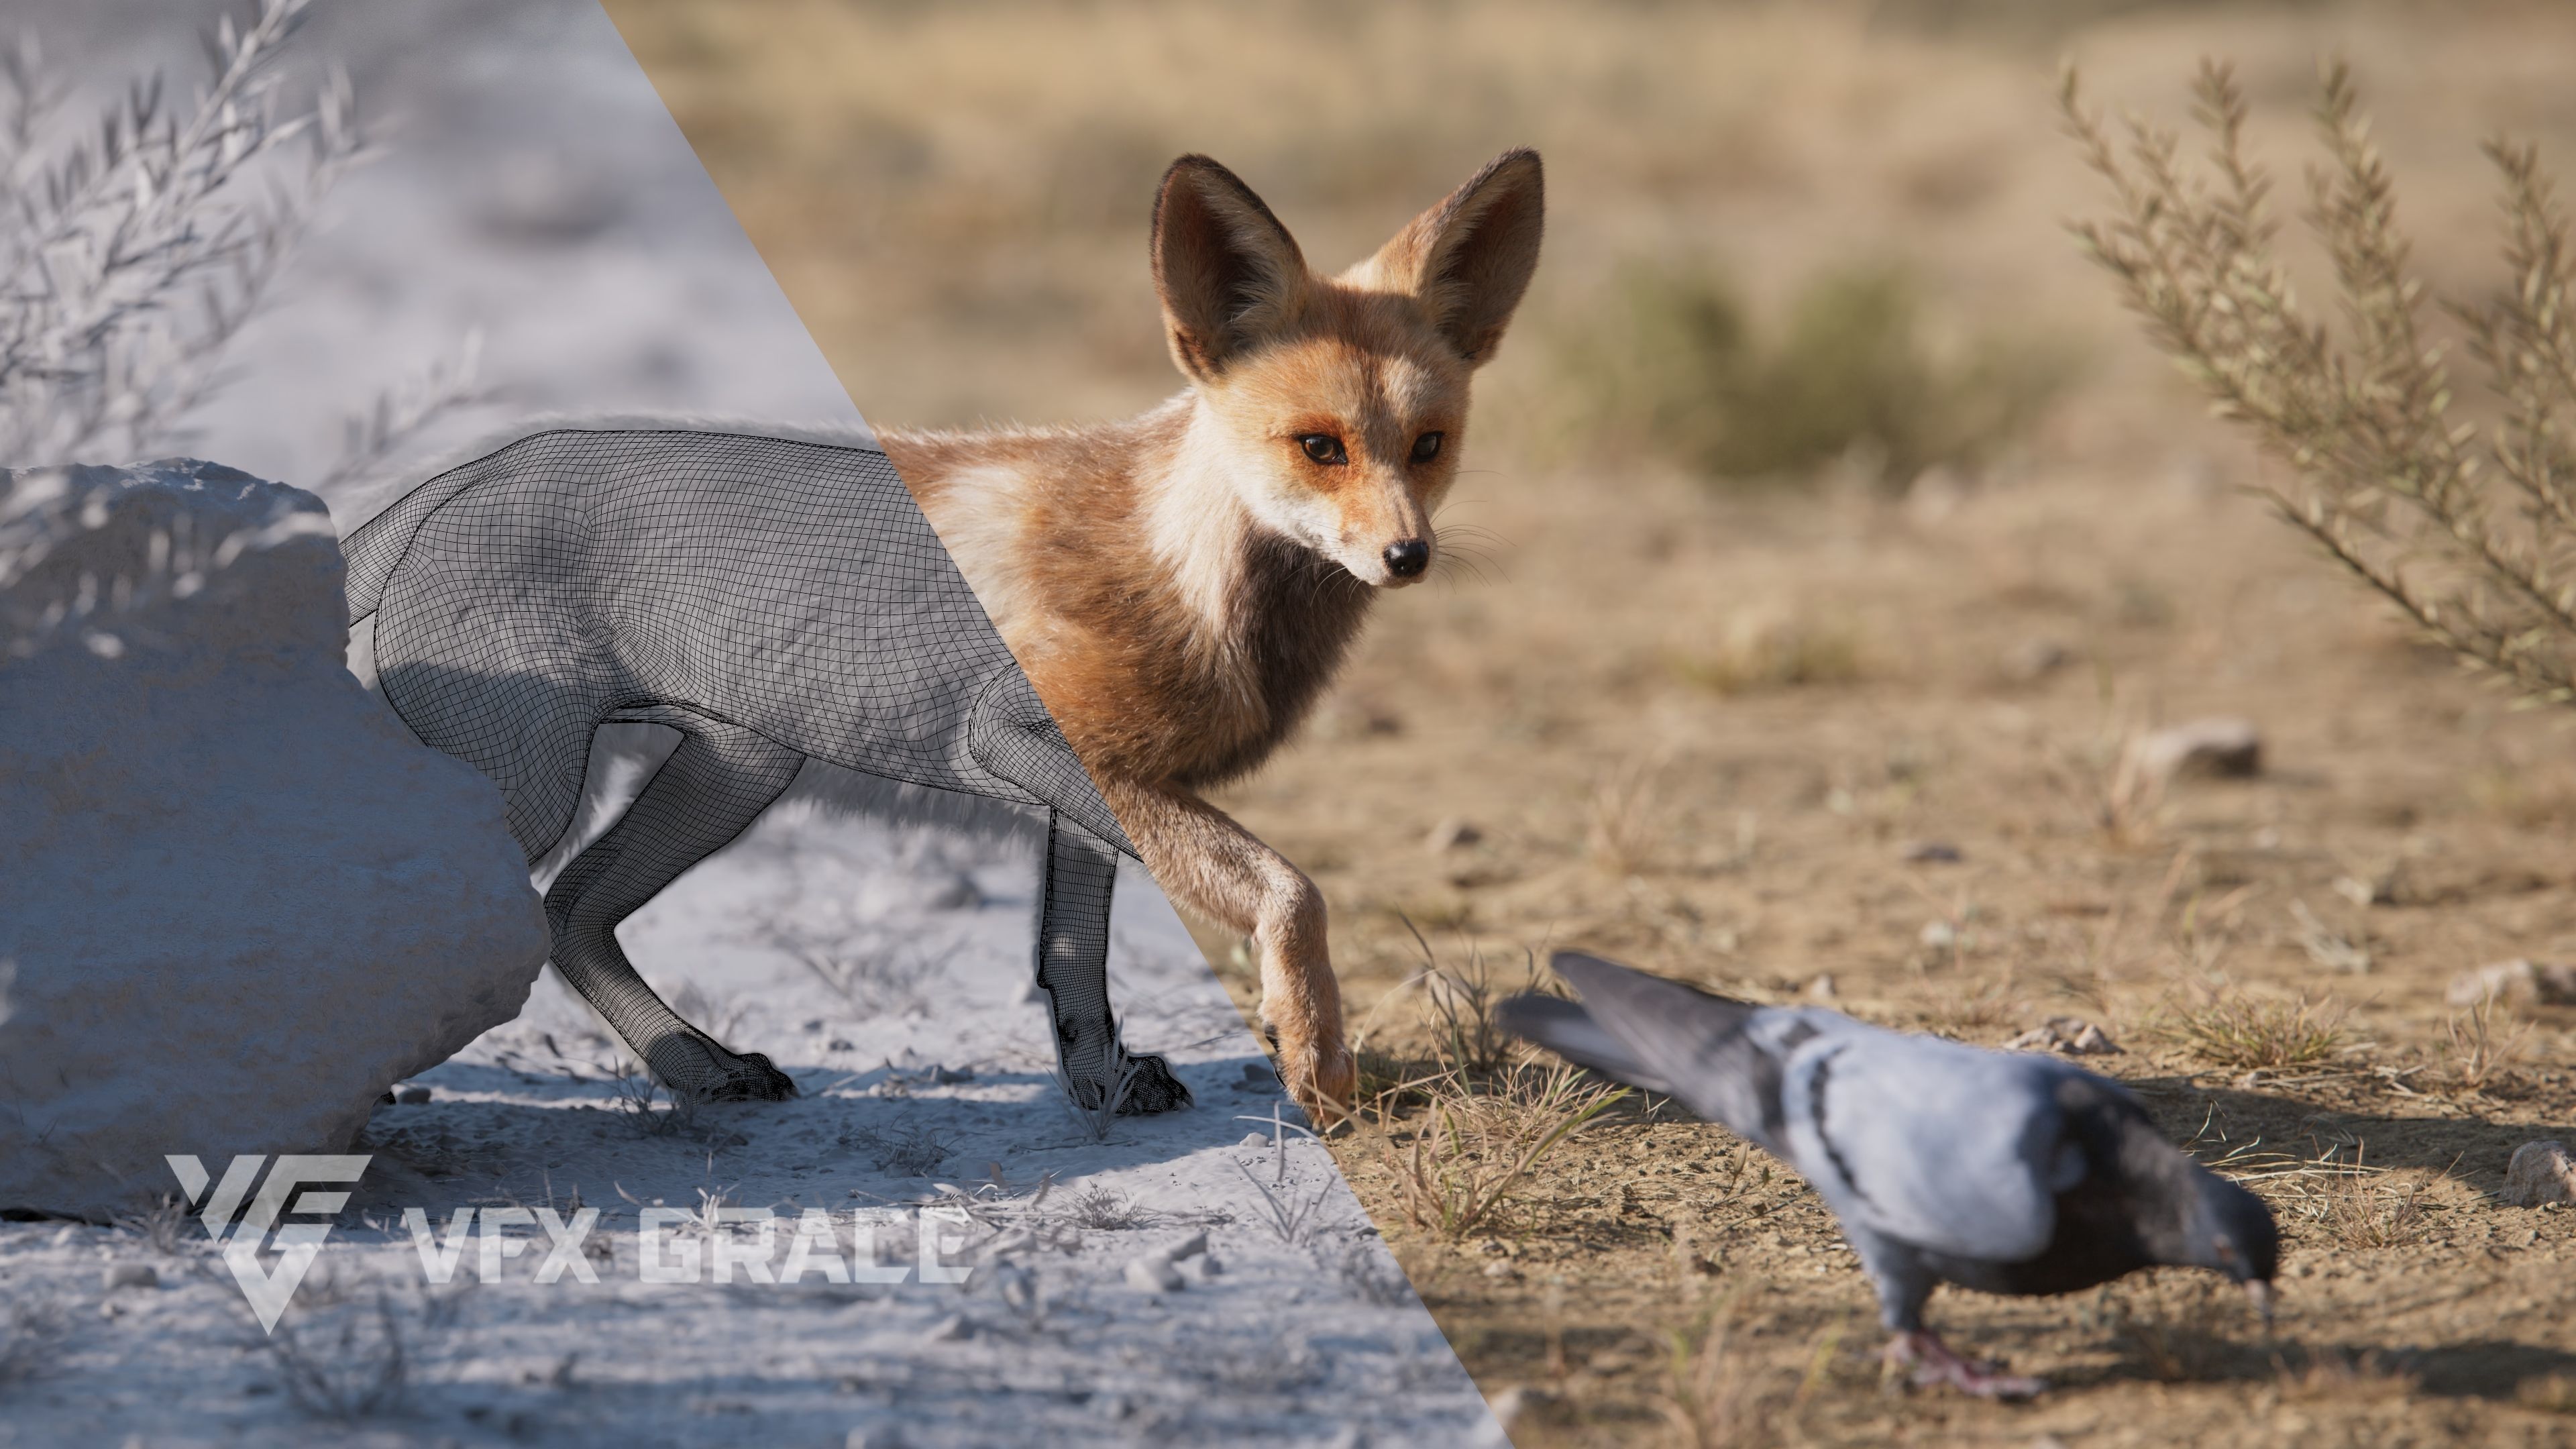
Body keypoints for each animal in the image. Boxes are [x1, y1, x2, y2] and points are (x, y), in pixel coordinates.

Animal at [882, 148, 1545, 1118]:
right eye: (1320, 447)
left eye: (1428, 445)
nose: (1408, 555)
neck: (1183, 582)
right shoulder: (1086, 761)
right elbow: (1294, 893)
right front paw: (1312, 1052)